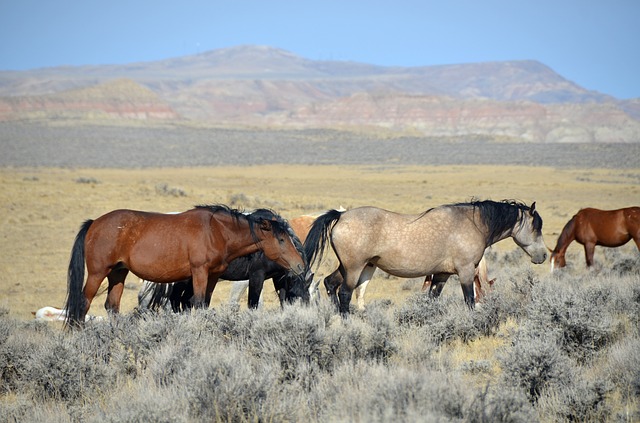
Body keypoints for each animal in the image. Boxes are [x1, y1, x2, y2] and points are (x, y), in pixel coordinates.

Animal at [137, 213, 321, 312]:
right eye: (304, 299)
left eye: (309, 300)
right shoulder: (254, 277)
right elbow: (252, 303)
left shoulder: (278, 279)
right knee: (176, 300)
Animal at [304, 200, 547, 313]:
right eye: (537, 226)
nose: (543, 255)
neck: (472, 223)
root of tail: (341, 215)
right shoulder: (466, 272)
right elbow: (470, 300)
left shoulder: (441, 275)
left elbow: (432, 300)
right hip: (354, 268)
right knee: (344, 293)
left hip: (348, 267)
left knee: (330, 283)